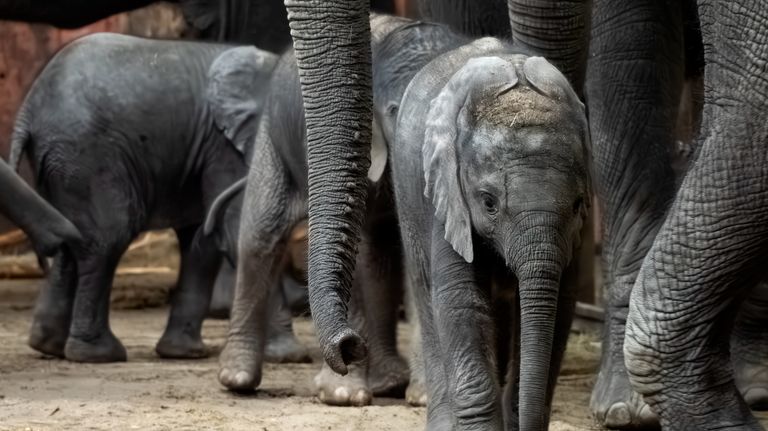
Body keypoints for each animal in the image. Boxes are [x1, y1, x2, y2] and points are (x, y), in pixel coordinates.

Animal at [9, 34, 280, 364]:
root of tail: (28, 109)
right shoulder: (224, 145)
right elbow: (236, 230)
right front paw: (285, 355)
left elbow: (202, 240)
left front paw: (184, 354)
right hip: (87, 156)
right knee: (106, 238)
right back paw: (100, 354)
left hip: (60, 162)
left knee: (69, 239)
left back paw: (48, 346)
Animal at [392, 39, 592, 428]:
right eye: (488, 203)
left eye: (577, 204)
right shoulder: (447, 194)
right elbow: (461, 301)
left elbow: (559, 303)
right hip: (407, 194)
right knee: (426, 294)